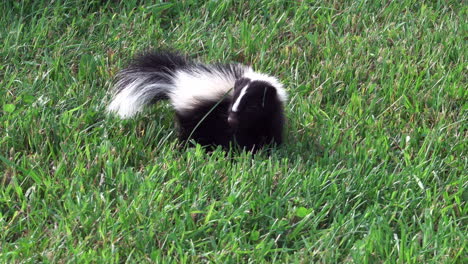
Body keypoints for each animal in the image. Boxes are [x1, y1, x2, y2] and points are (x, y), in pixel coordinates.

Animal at [107, 50, 288, 152]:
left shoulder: (271, 117)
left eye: (252, 107)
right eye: (231, 104)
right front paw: (245, 152)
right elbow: (236, 138)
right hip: (192, 116)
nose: (231, 119)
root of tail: (176, 79)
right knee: (190, 133)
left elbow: (272, 132)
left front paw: (270, 150)